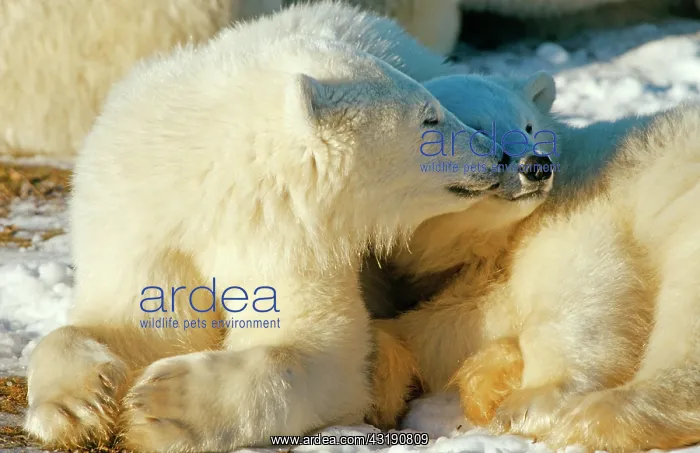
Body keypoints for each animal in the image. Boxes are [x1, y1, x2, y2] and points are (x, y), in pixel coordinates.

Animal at [21, 5, 521, 452]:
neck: (211, 180)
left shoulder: (290, 235)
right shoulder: (144, 224)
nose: (497, 155)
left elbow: (314, 347)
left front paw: (162, 404)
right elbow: (133, 322)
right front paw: (74, 407)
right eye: (429, 117)